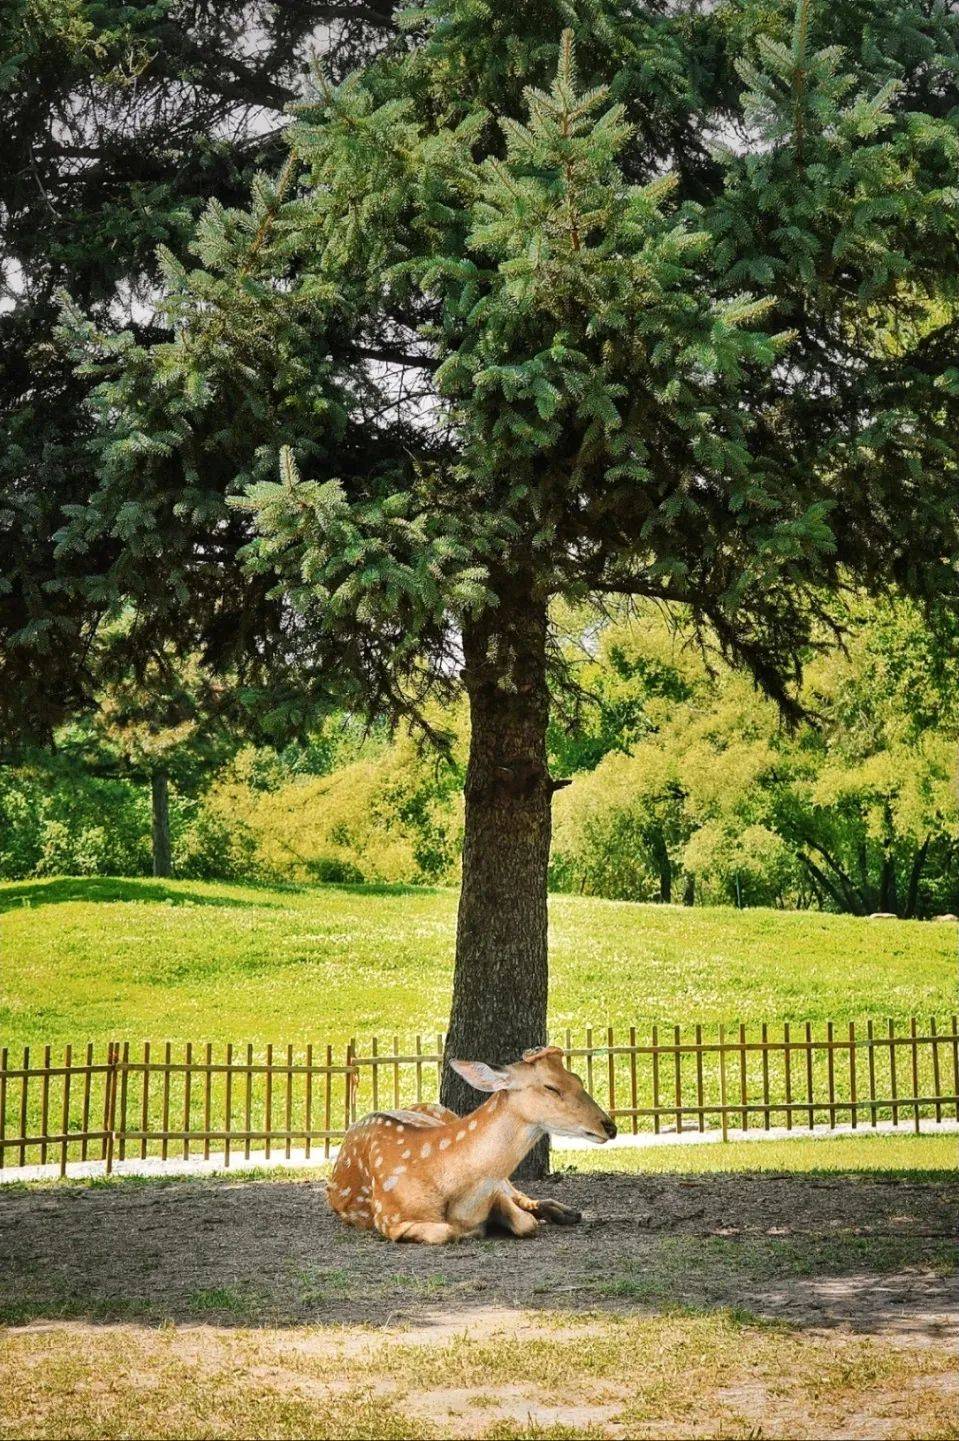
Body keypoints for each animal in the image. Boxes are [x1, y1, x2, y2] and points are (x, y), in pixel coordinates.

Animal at [326, 1043, 613, 1245]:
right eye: (551, 1087)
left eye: (578, 1079)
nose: (610, 1126)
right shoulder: (388, 1217)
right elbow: (447, 1231)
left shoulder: (494, 1190)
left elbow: (526, 1223)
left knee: (525, 1198)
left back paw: (569, 1212)